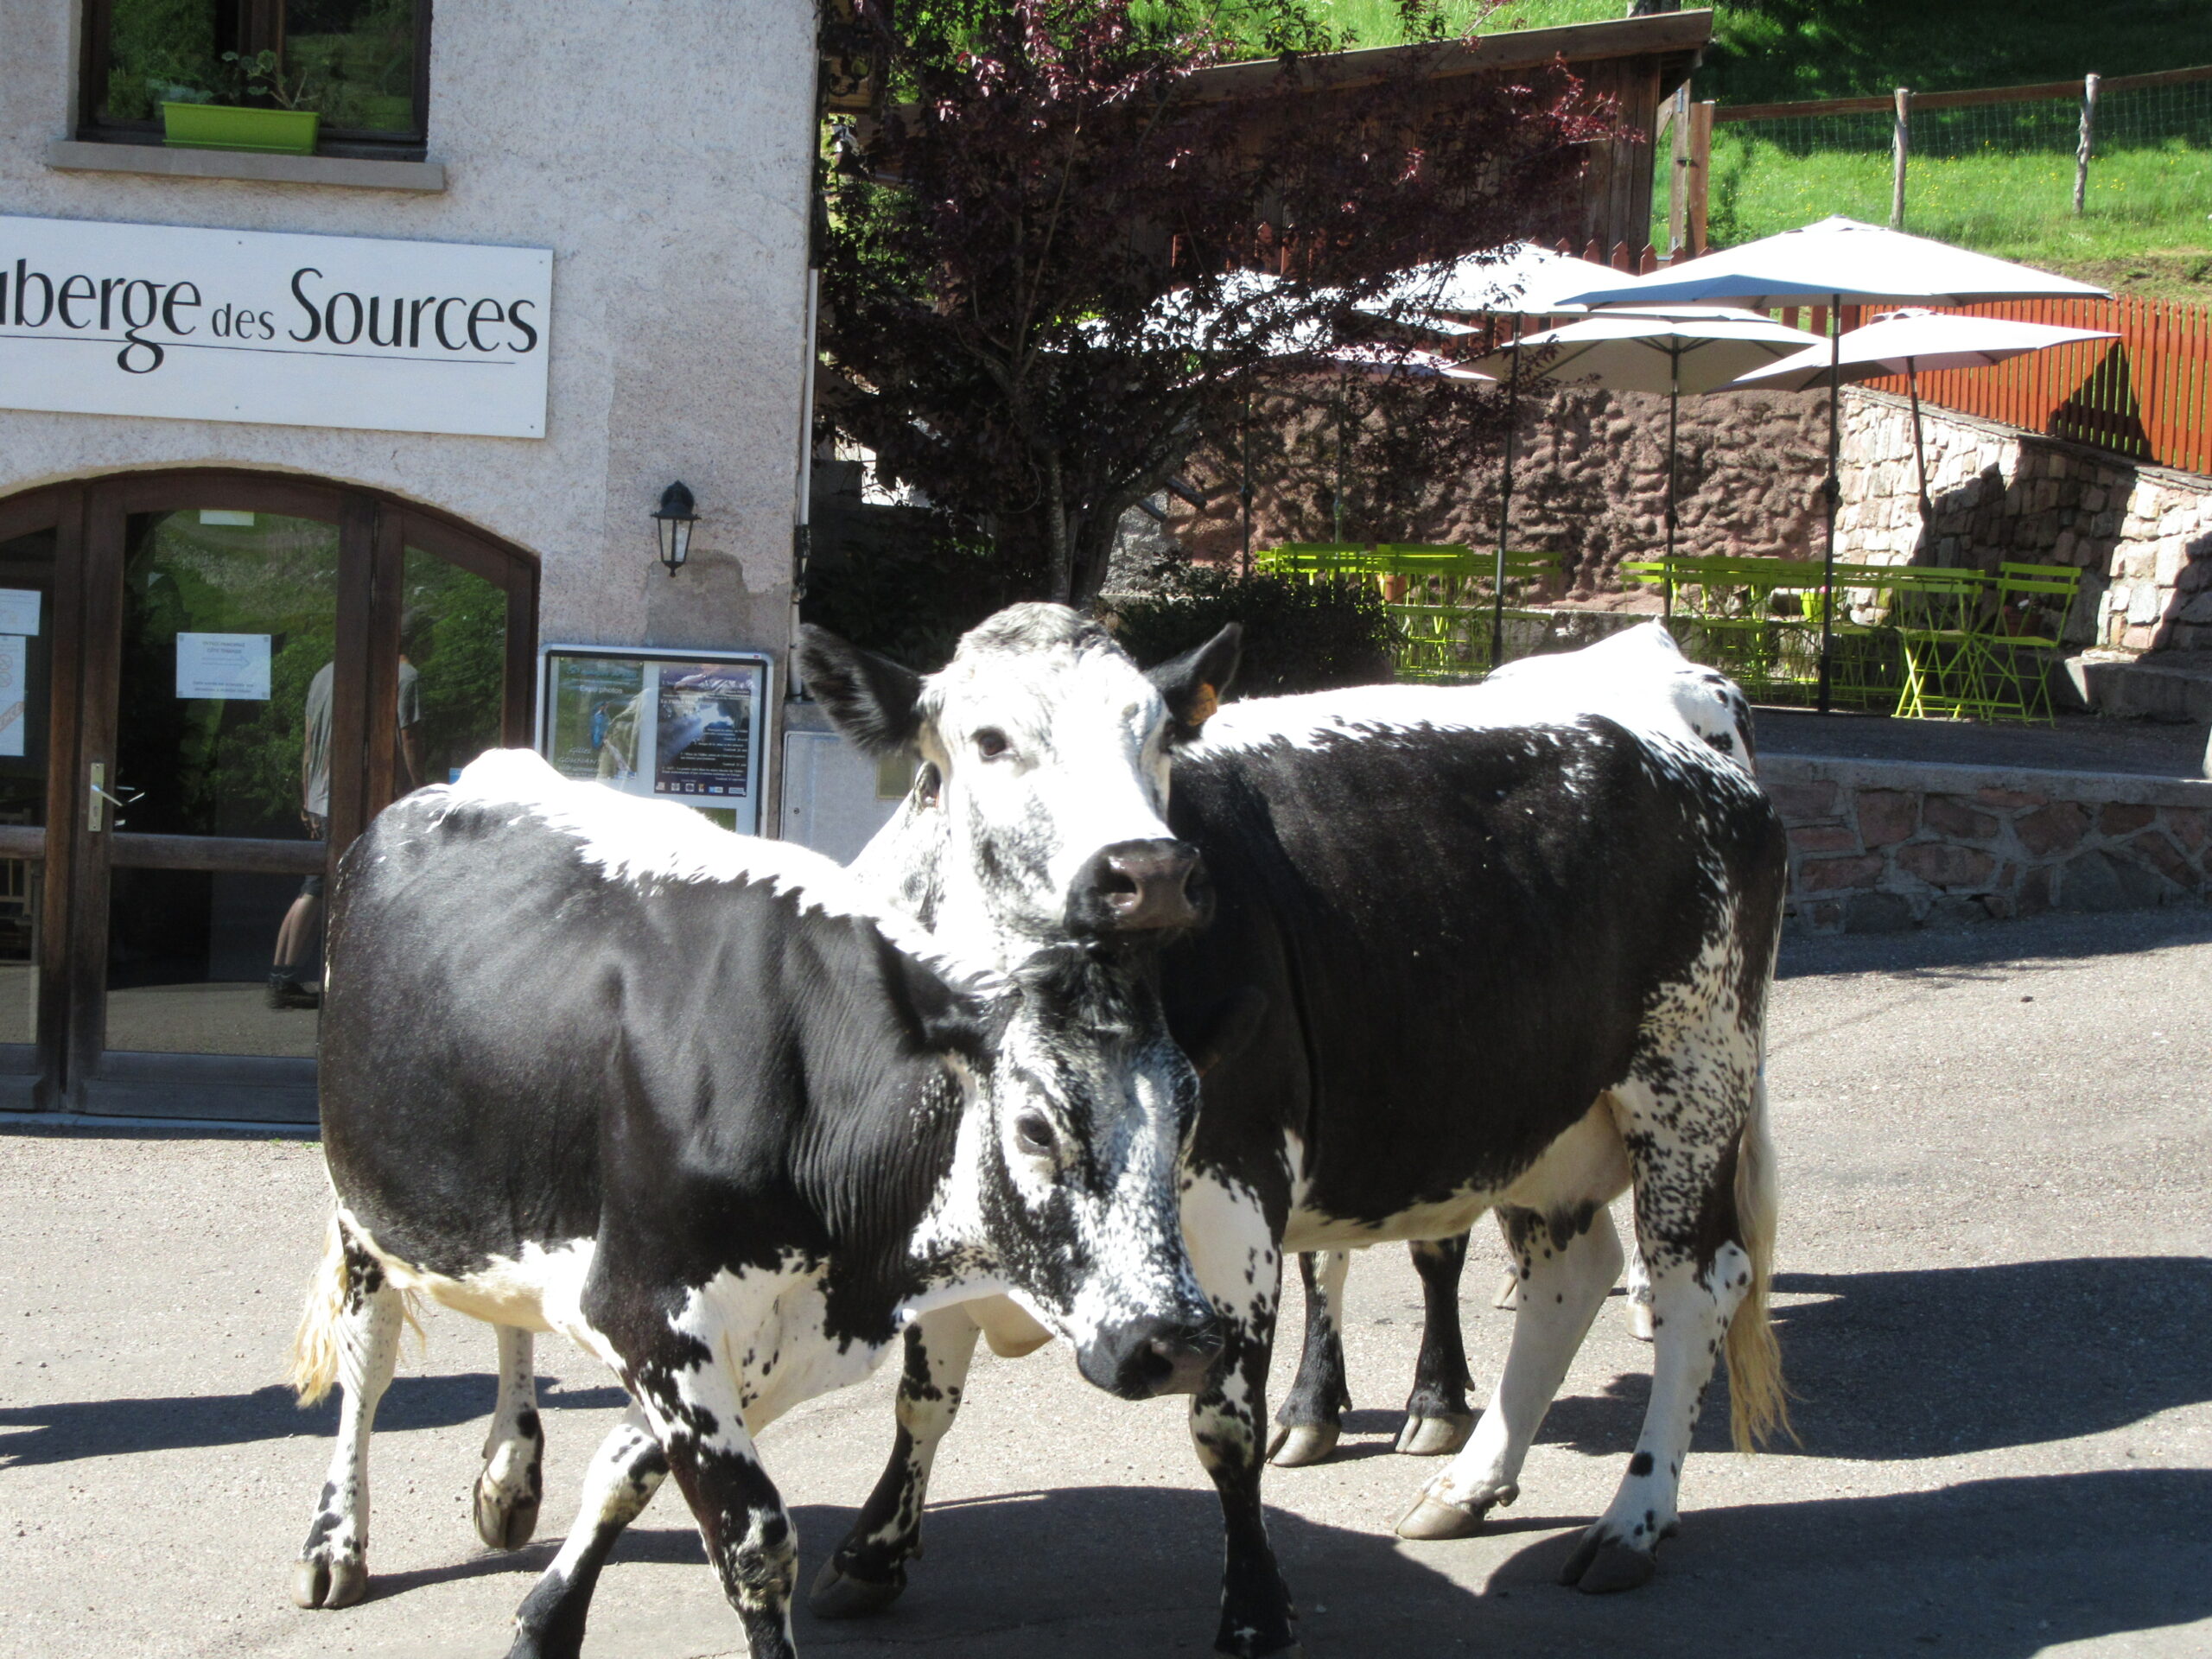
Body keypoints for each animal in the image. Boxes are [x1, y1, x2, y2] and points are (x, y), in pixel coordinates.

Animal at [281, 752, 1230, 1659]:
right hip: (361, 1209)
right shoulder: (652, 1312)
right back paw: (335, 1541)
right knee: (368, 1364)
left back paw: (509, 1474)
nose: (1179, 1343)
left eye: (1189, 1113)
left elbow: (622, 1468)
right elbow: (756, 1542)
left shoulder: (744, 1339)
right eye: (1036, 1126)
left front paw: (546, 1616)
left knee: (510, 1315)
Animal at [800, 614, 1796, 1659]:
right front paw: (870, 1555)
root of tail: (1686, 756)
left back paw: (1631, 1521)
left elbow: (1223, 1427)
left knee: (1695, 1287)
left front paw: (1255, 1605)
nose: (1151, 872)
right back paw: (1468, 1486)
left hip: (1691, 1085)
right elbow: (923, 1397)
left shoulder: (1237, 1196)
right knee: (1570, 1278)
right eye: (990, 740)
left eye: (1157, 734)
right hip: (1539, 1126)